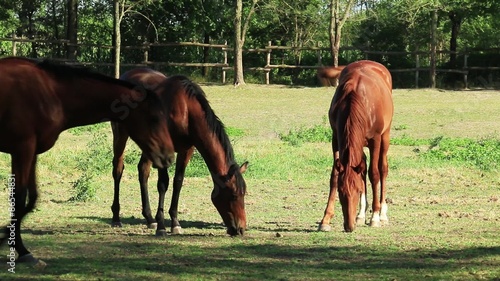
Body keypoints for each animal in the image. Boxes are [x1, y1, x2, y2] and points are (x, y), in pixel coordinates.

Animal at [0, 57, 176, 266]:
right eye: (155, 118)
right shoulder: (23, 149)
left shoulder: (30, 152)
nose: (169, 156)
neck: (50, 93)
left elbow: (31, 198)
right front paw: (21, 249)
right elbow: (19, 198)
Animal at [111, 68, 248, 236]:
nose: (241, 229)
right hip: (120, 134)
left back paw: (149, 219)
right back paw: (116, 218)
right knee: (118, 170)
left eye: (244, 193)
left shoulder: (187, 149)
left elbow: (178, 182)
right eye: (234, 195)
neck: (186, 111)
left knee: (143, 171)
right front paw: (162, 226)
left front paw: (174, 223)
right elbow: (163, 183)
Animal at [318, 59, 392, 232]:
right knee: (362, 166)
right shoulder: (336, 138)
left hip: (385, 137)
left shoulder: (375, 139)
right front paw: (325, 220)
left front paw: (375, 217)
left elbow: (374, 174)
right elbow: (335, 174)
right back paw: (361, 215)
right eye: (341, 192)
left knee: (382, 168)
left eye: (358, 192)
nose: (349, 226)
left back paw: (382, 214)